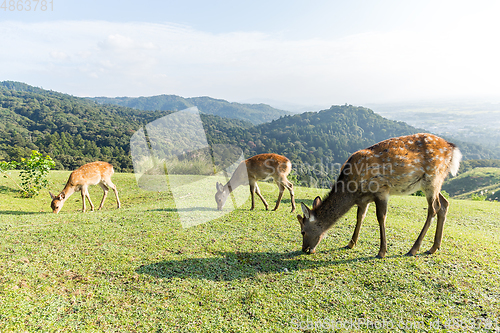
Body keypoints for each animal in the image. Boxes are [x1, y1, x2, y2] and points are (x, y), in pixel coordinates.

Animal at [294, 134, 462, 258]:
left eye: (303, 231)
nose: (304, 249)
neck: (353, 190)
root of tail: (452, 149)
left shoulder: (381, 190)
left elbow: (381, 217)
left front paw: (381, 251)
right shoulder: (364, 200)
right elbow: (360, 217)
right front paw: (351, 243)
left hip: (432, 178)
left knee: (434, 208)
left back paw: (414, 249)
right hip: (435, 181)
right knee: (444, 204)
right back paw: (434, 247)